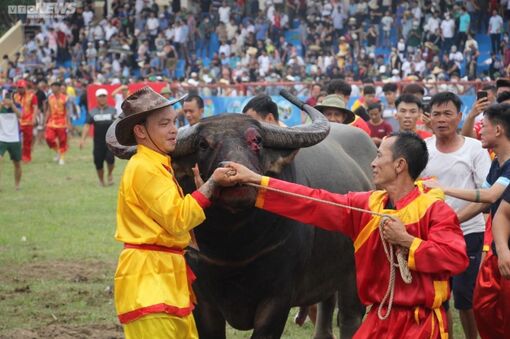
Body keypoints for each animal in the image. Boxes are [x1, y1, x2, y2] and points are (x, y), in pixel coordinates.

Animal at [106, 96, 378, 339]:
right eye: (203, 144)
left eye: (256, 140)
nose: (235, 176)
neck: (235, 246)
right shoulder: (203, 300)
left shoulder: (277, 298)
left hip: (354, 274)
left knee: (350, 316)